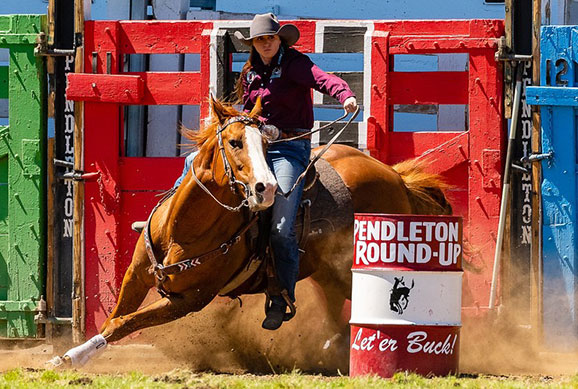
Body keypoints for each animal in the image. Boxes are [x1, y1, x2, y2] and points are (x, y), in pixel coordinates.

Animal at [50, 98, 450, 366]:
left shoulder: (189, 300)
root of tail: (394, 175)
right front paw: (73, 353)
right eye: (234, 142)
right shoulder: (136, 276)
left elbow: (125, 322)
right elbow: (115, 317)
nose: (266, 188)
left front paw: (74, 357)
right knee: (336, 307)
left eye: (267, 145)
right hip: (329, 272)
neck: (183, 230)